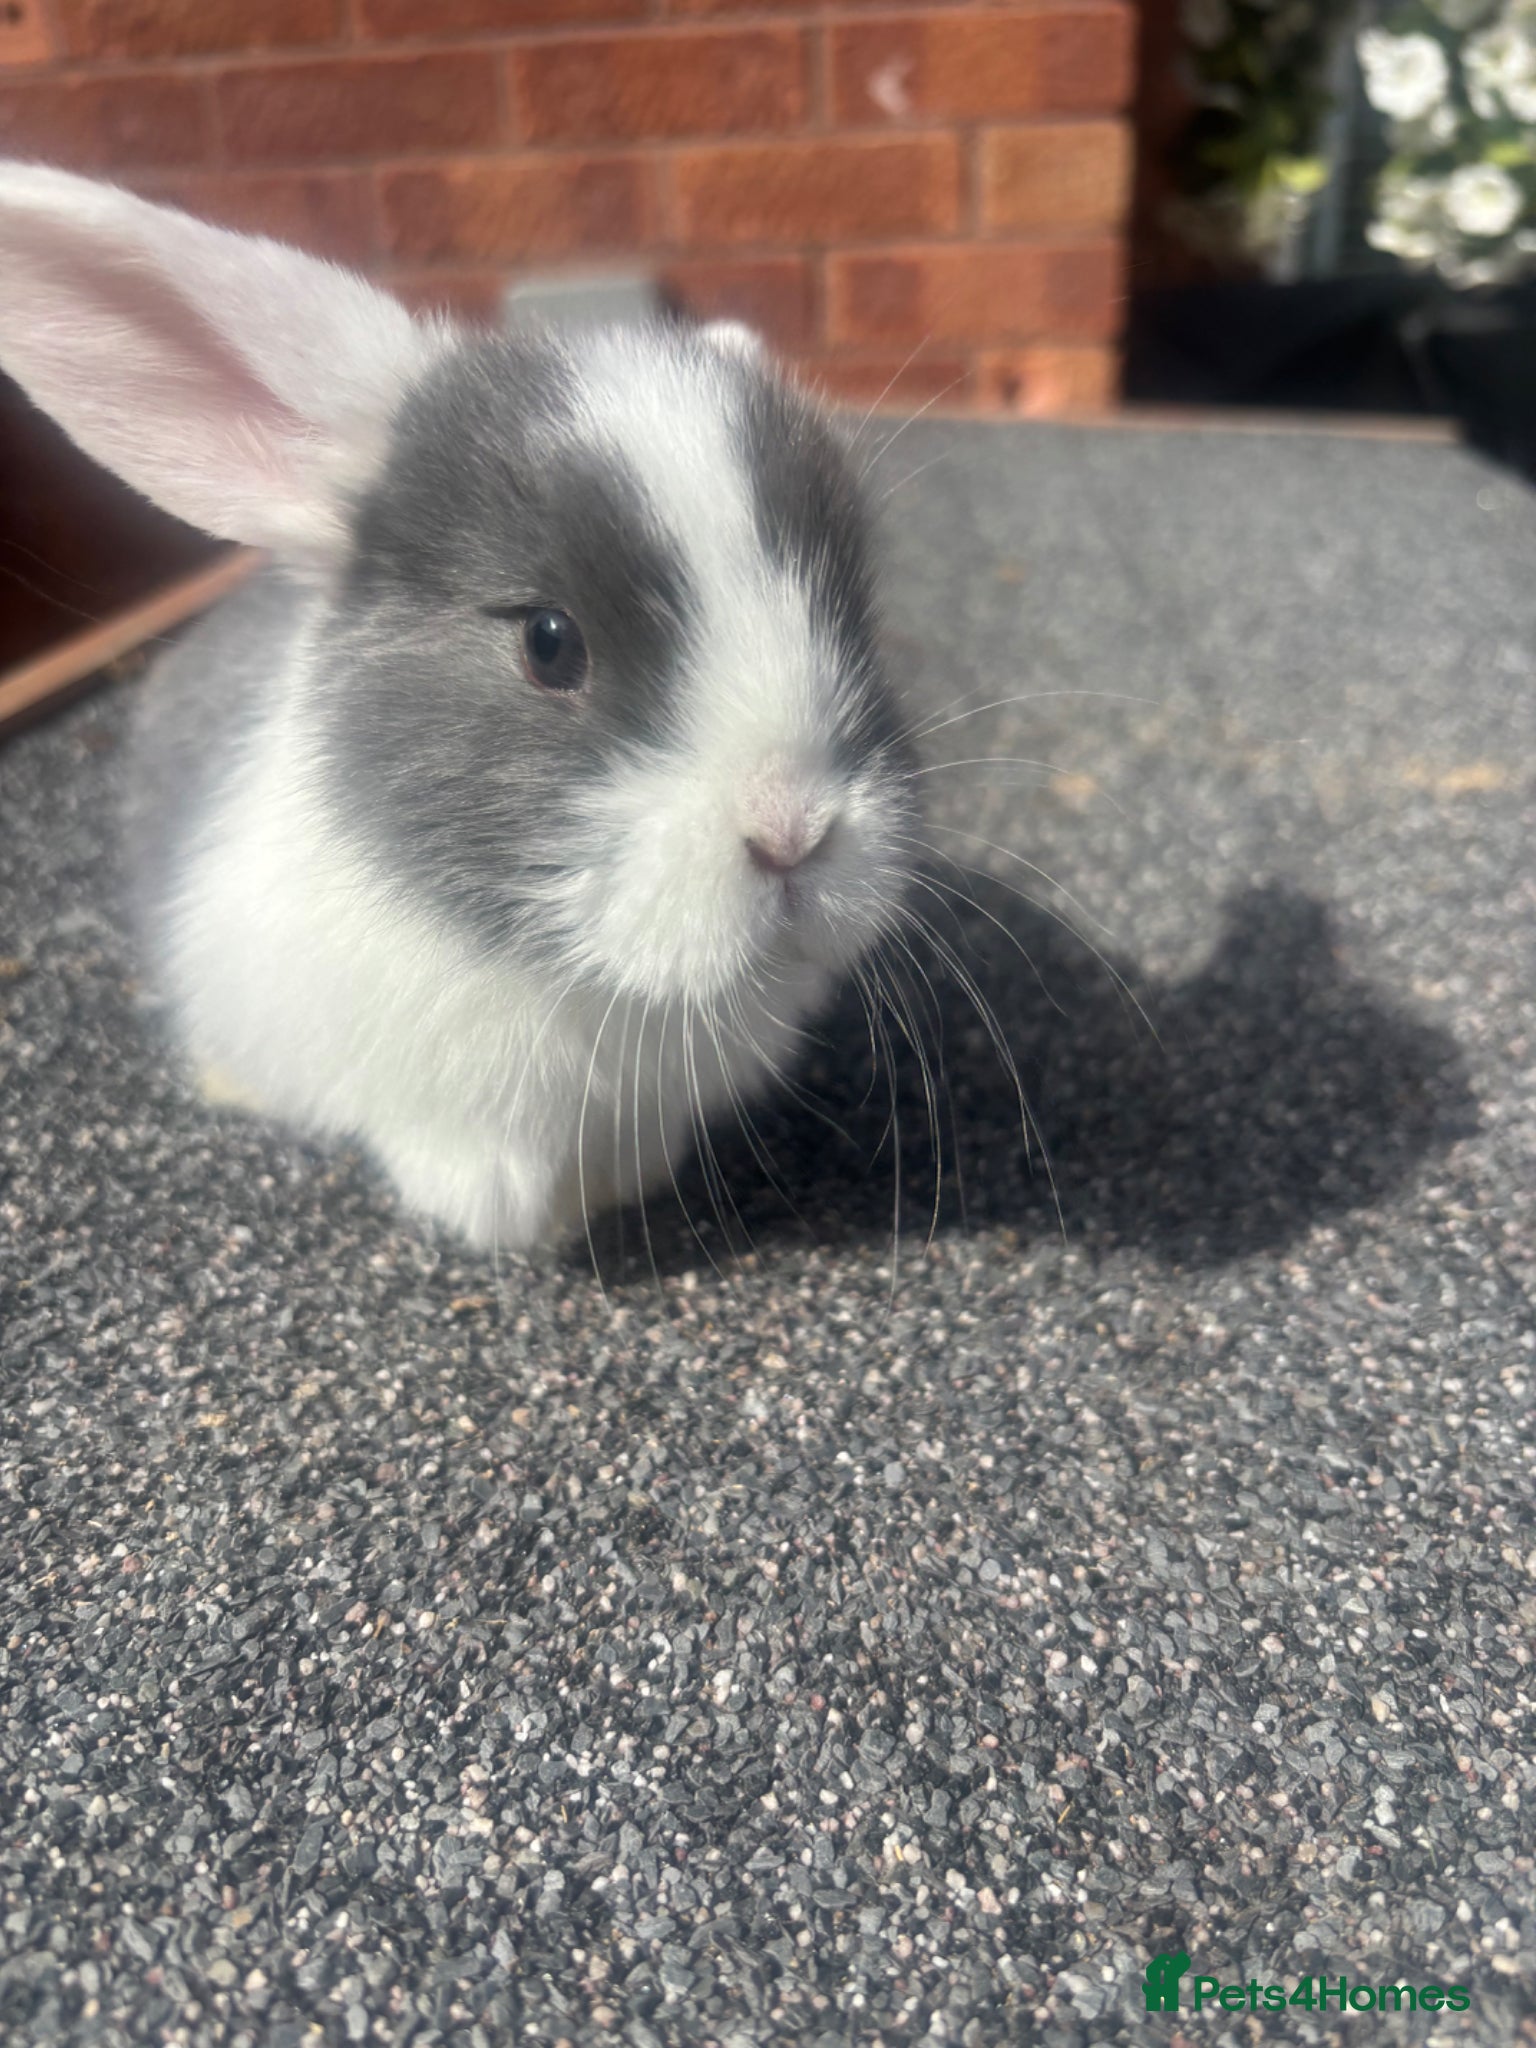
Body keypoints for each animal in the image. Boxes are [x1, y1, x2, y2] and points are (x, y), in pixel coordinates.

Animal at [0, 162, 919, 1253]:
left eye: (855, 605)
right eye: (549, 641)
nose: (794, 830)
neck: (588, 986)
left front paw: (615, 1191)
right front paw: (512, 1218)